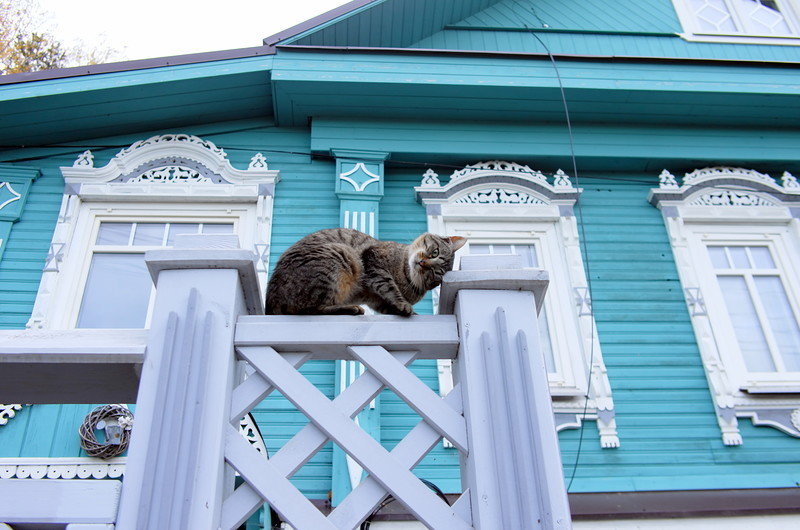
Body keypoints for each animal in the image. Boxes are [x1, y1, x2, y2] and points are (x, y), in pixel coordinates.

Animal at [268, 226, 468, 314]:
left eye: (435, 273)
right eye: (434, 252)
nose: (422, 263)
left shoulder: (377, 303)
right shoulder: (373, 262)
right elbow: (389, 286)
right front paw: (404, 304)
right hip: (340, 255)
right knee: (314, 308)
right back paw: (351, 308)